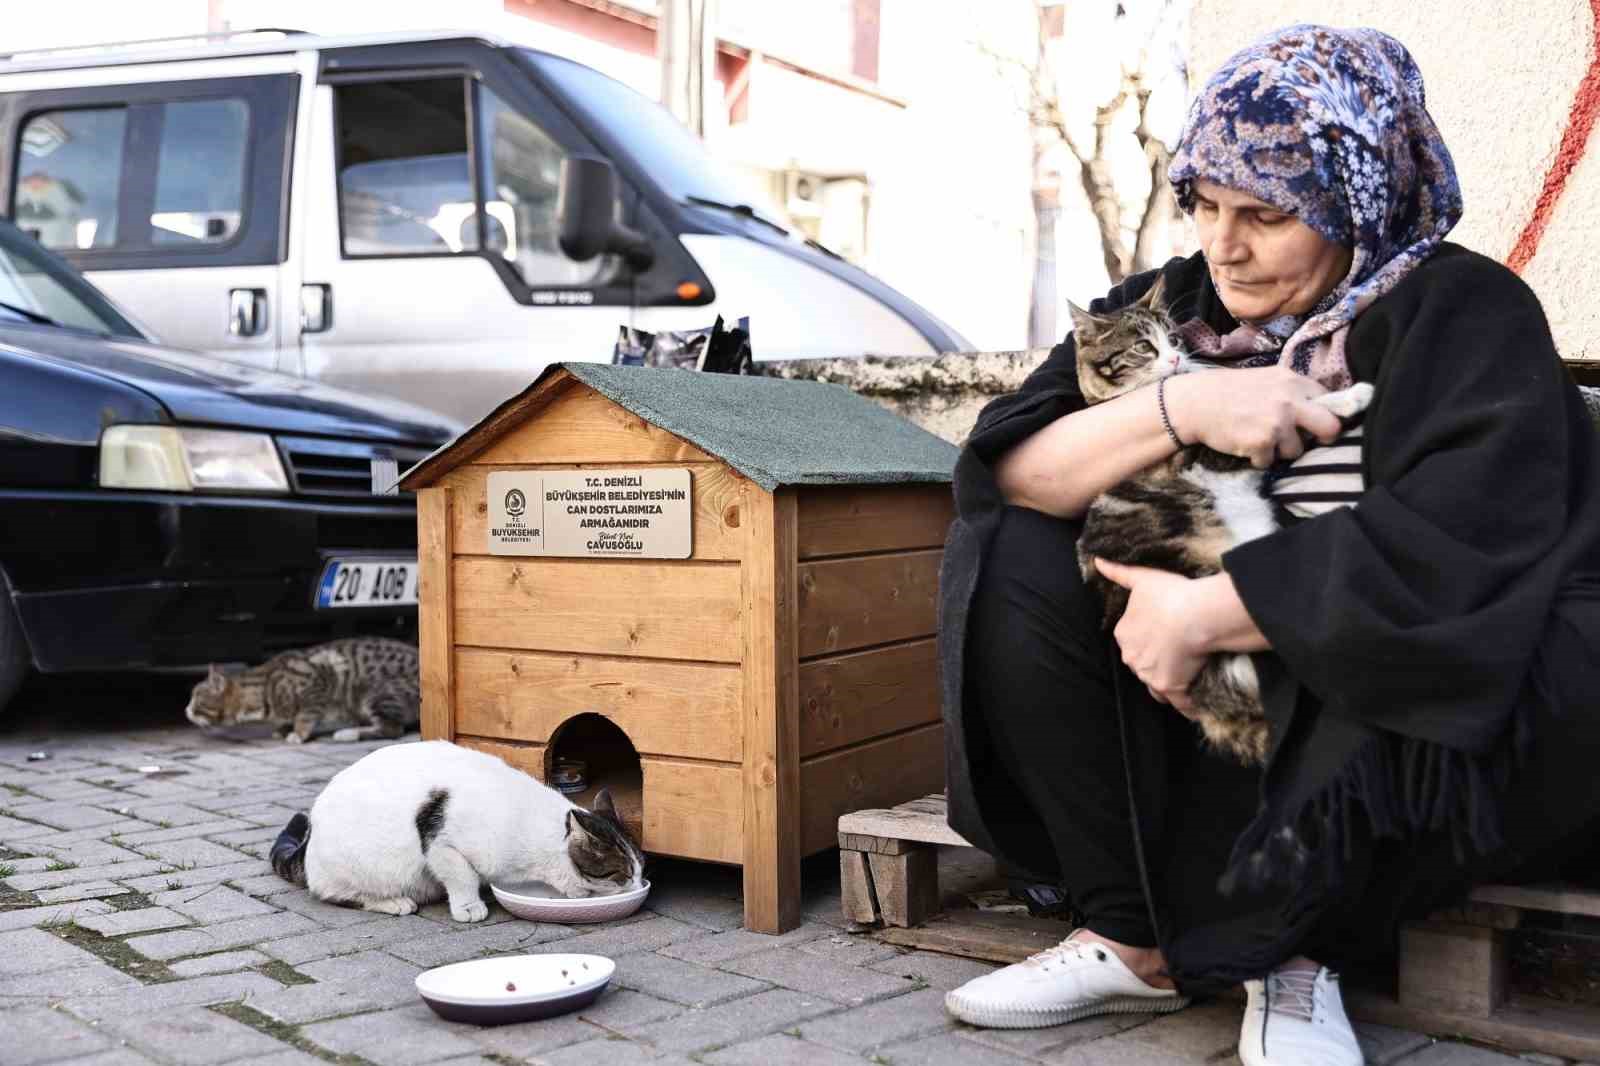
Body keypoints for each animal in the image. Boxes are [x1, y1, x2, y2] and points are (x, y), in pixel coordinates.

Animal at [184, 633, 422, 742]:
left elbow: (305, 715)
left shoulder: (316, 684)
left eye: (196, 700)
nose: (186, 710)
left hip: (376, 692)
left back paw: (350, 733)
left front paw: (298, 733)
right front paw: (282, 729)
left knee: (392, 729)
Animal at [272, 736, 646, 915]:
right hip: (361, 867)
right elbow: (461, 875)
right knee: (334, 894)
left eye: (641, 868)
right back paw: (394, 903)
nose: (639, 884)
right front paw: (469, 906)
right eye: (624, 873)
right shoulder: (440, 838)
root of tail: (310, 838)